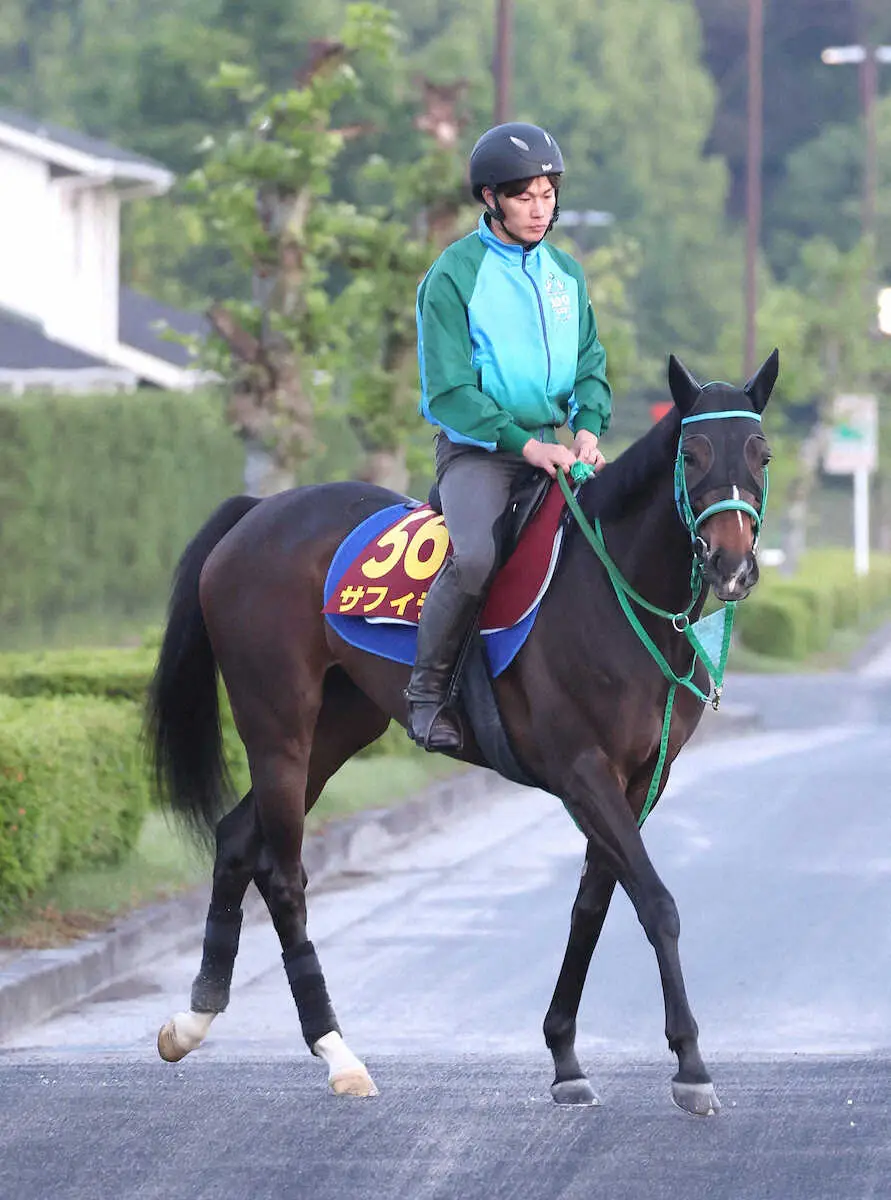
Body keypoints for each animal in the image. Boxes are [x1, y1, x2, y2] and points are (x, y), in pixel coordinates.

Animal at [150, 350, 778, 1113]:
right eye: (692, 453)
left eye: (760, 452)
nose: (732, 564)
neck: (613, 592)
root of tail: (256, 514)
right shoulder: (582, 772)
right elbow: (655, 903)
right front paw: (689, 1063)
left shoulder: (637, 781)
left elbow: (593, 905)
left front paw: (565, 1055)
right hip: (278, 726)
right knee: (284, 872)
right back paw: (336, 1051)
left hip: (338, 726)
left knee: (239, 839)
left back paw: (193, 1017)